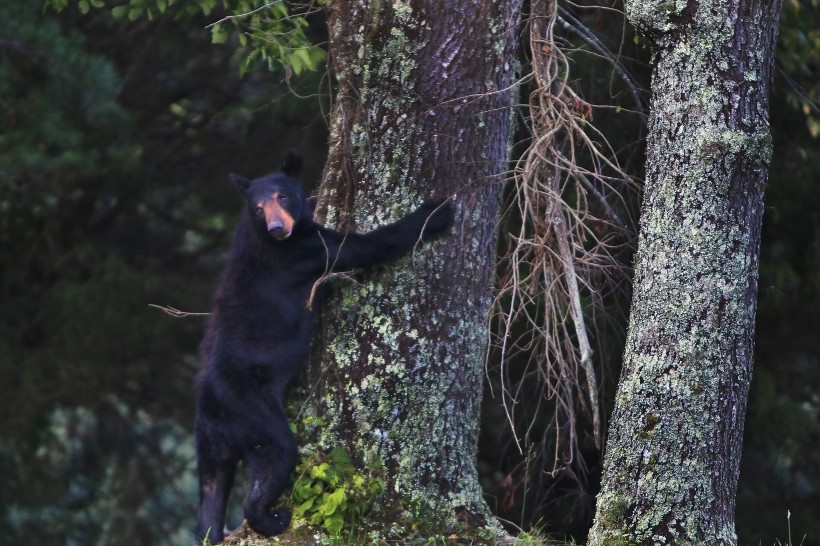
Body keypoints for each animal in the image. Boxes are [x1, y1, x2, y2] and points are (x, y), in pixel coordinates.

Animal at [193, 151, 454, 540]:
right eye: (258, 208)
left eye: (283, 196)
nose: (277, 228)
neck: (263, 236)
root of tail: (212, 405)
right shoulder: (304, 251)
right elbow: (361, 246)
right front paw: (435, 213)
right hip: (251, 410)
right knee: (277, 453)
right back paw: (272, 517)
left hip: (208, 443)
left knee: (210, 491)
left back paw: (214, 529)